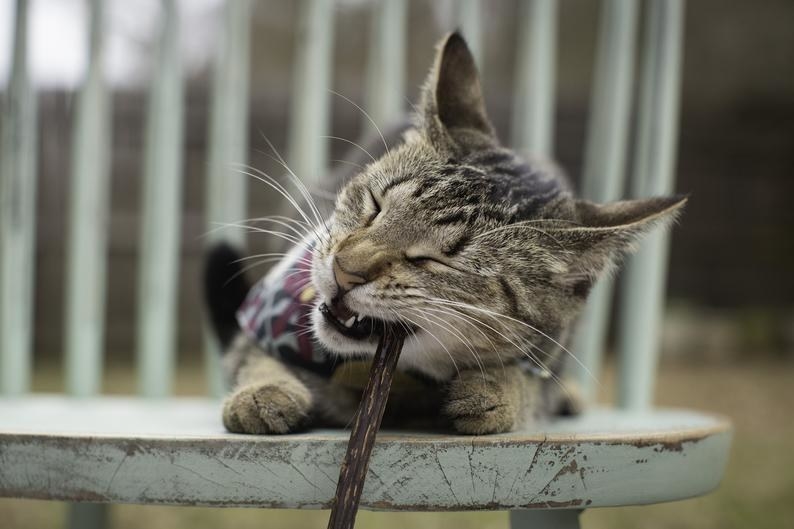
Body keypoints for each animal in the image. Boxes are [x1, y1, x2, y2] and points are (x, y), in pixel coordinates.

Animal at [207, 32, 684, 434]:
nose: (345, 268)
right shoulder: (262, 318)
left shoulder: (545, 355)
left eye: (435, 260)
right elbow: (252, 354)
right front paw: (264, 391)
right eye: (375, 206)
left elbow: (529, 382)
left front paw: (495, 390)